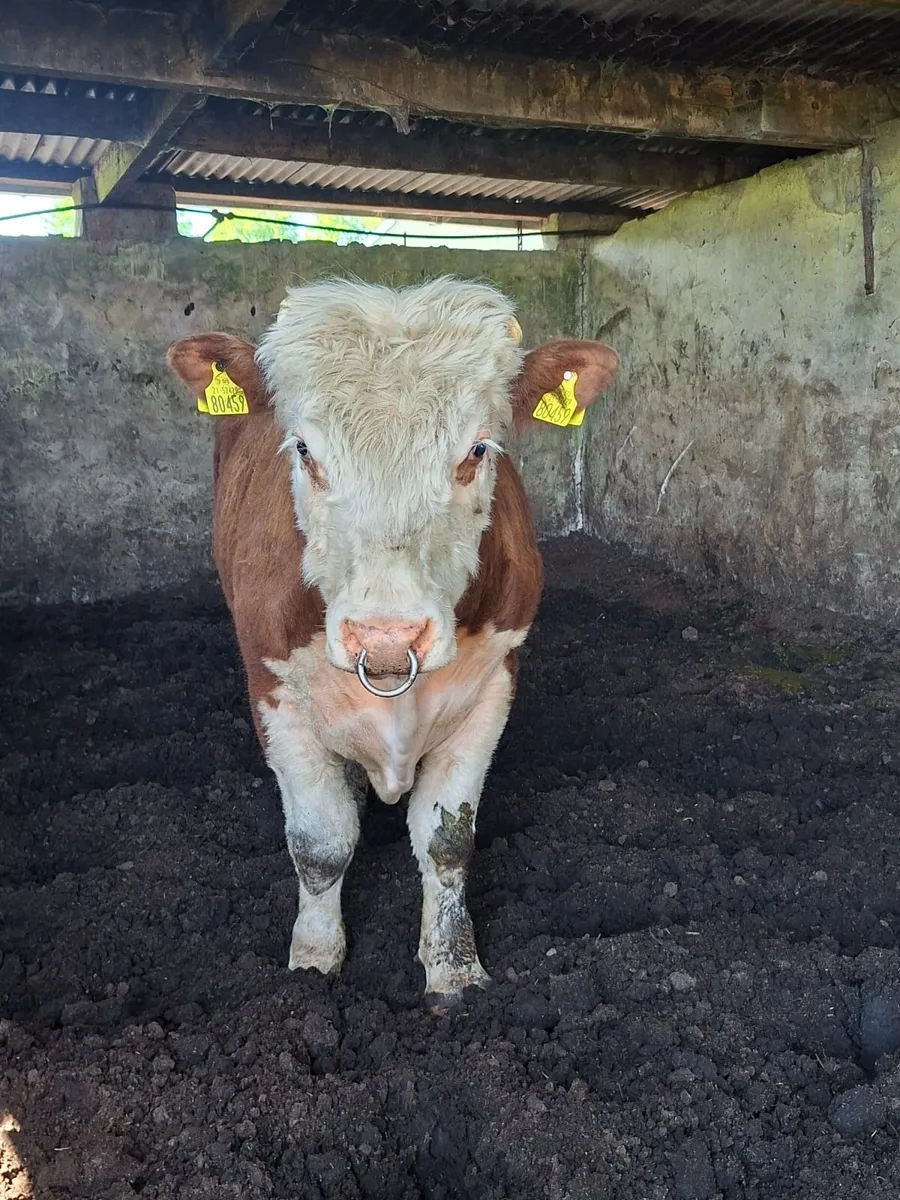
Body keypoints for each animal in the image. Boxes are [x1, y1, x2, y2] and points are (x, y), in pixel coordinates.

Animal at [167, 277, 619, 1008]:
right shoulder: (273, 690)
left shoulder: (494, 684)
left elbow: (446, 841)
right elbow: (319, 843)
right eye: (304, 450)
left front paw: (454, 971)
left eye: (477, 450)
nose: (386, 633)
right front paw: (314, 963)